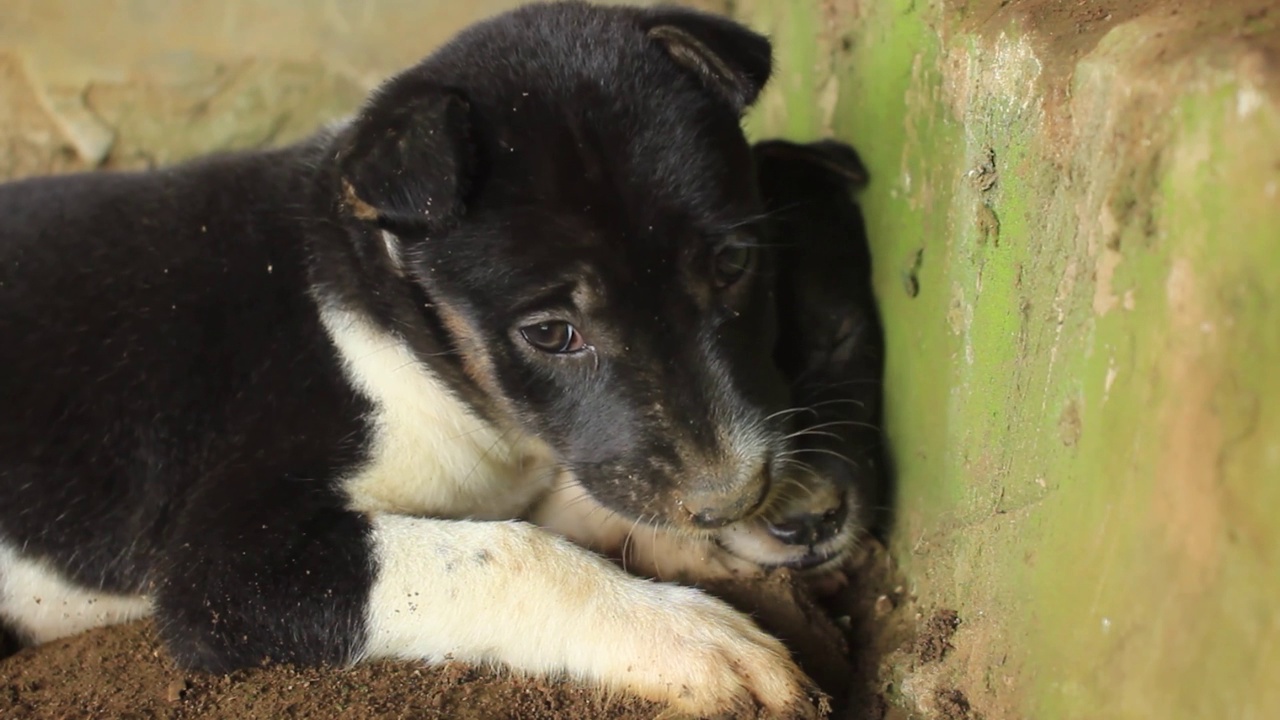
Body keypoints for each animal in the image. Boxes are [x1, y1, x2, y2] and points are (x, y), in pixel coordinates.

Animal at [0, 2, 824, 712]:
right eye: (551, 334)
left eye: (733, 264)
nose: (735, 497)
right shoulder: (221, 572)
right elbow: (512, 551)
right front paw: (688, 635)